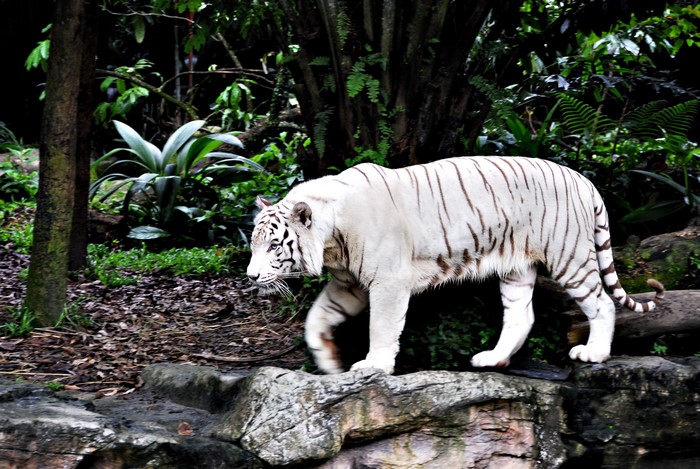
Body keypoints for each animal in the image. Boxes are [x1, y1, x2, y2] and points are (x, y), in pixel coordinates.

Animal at [246, 156, 664, 374]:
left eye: (273, 246)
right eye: (253, 244)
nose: (250, 276)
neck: (332, 242)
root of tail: (583, 179)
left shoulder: (388, 282)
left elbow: (381, 327)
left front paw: (374, 366)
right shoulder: (349, 284)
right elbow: (317, 316)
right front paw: (328, 361)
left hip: (569, 257)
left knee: (602, 302)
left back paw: (594, 353)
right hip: (515, 269)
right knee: (521, 316)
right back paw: (493, 359)